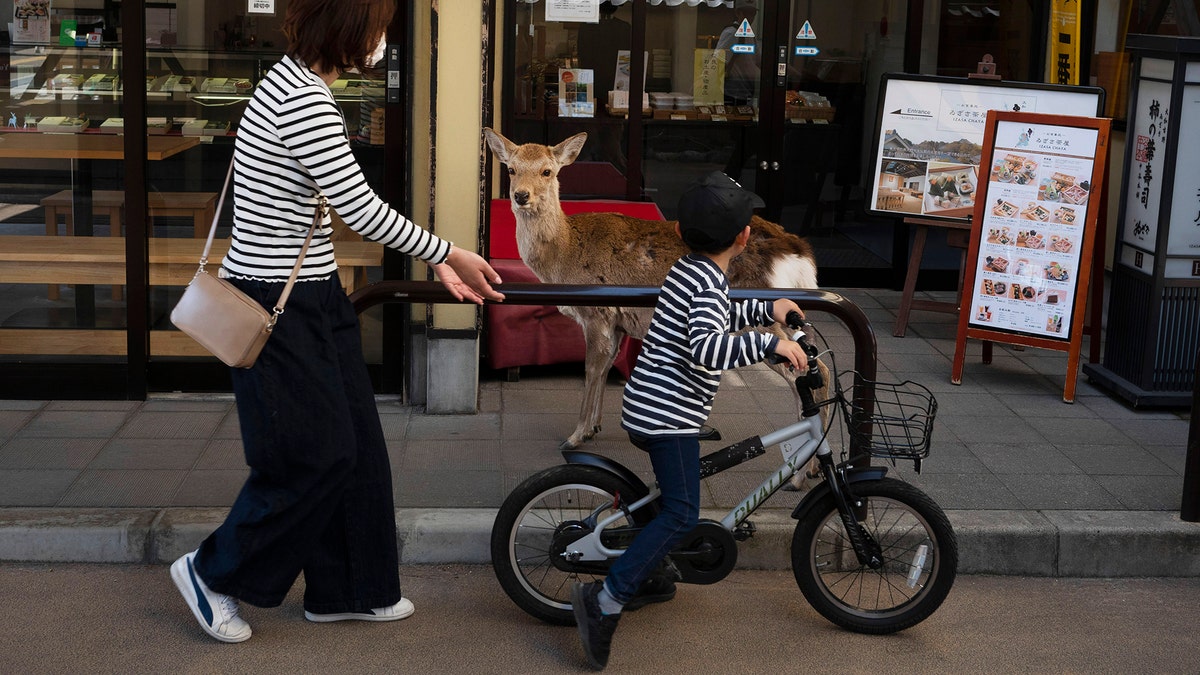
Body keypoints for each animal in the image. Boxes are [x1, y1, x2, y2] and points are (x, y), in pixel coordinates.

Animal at [484, 126, 825, 482]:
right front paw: (593, 427)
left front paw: (574, 437)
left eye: (547, 171)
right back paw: (812, 467)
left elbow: (591, 369)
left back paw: (801, 474)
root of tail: (800, 254)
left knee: (808, 369)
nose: (521, 195)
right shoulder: (618, 323)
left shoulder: (597, 313)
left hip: (761, 316)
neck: (564, 254)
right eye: (511, 169)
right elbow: (606, 368)